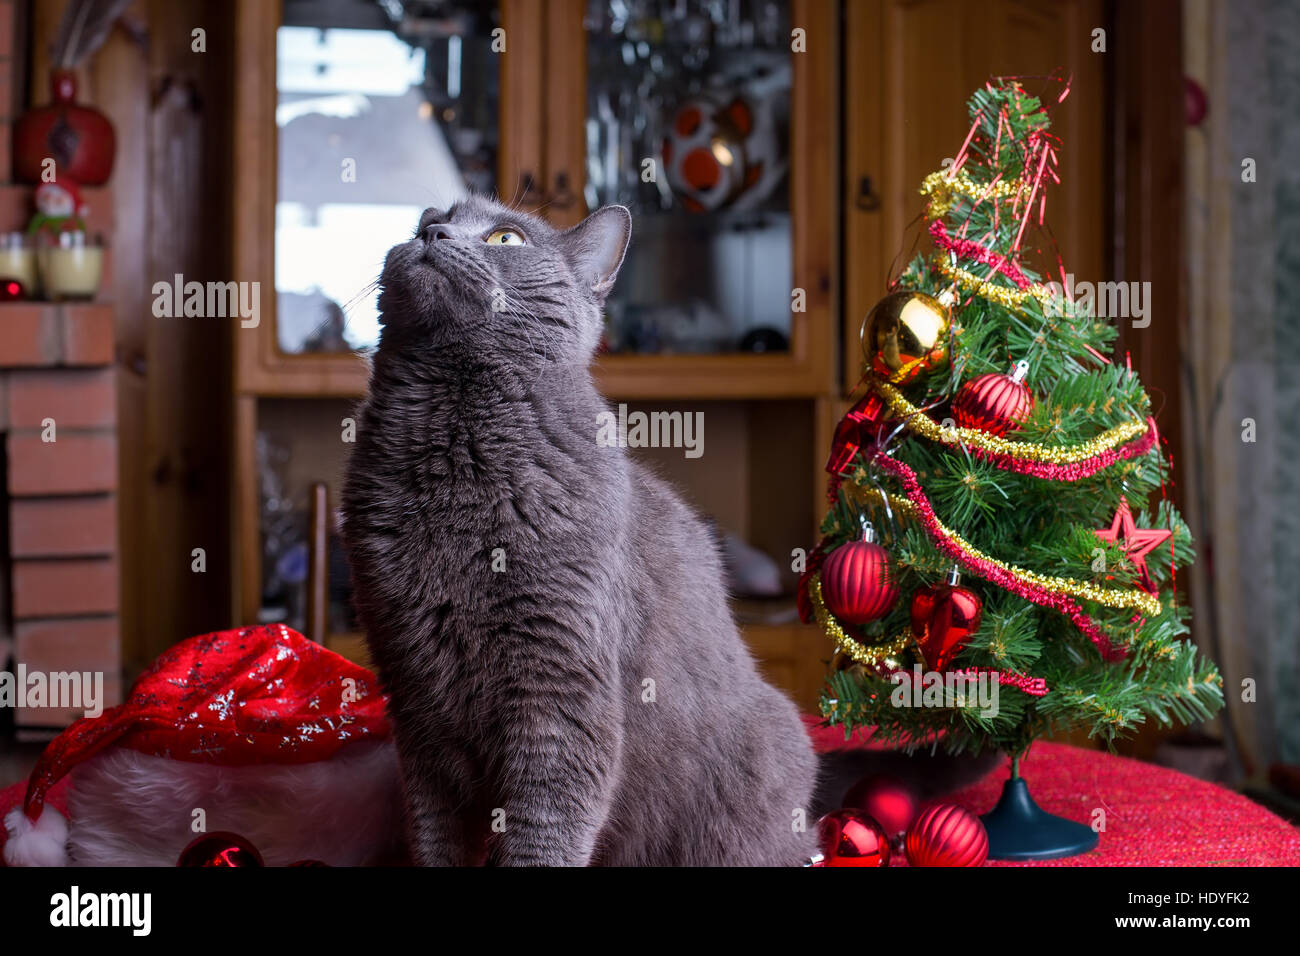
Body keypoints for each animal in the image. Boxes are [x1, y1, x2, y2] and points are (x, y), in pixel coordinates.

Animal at [338, 196, 982, 868]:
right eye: (421, 223)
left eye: (504, 238)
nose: (433, 233)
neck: (447, 447)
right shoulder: (416, 703)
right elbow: (437, 838)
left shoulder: (561, 690)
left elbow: (543, 833)